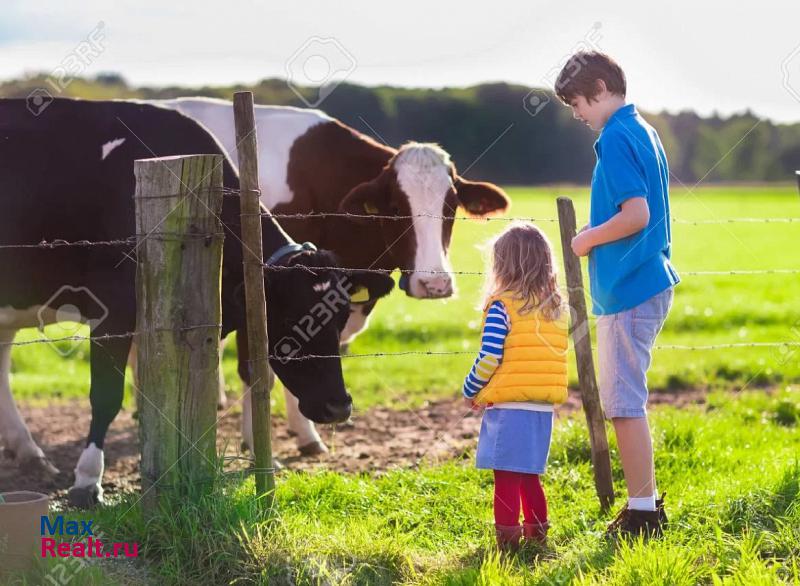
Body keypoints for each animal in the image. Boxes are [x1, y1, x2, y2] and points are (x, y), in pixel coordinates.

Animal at [0, 98, 390, 504]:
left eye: (339, 317)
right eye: (287, 320)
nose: (338, 405)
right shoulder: (114, 310)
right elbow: (106, 395)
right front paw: (88, 480)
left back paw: (27, 450)